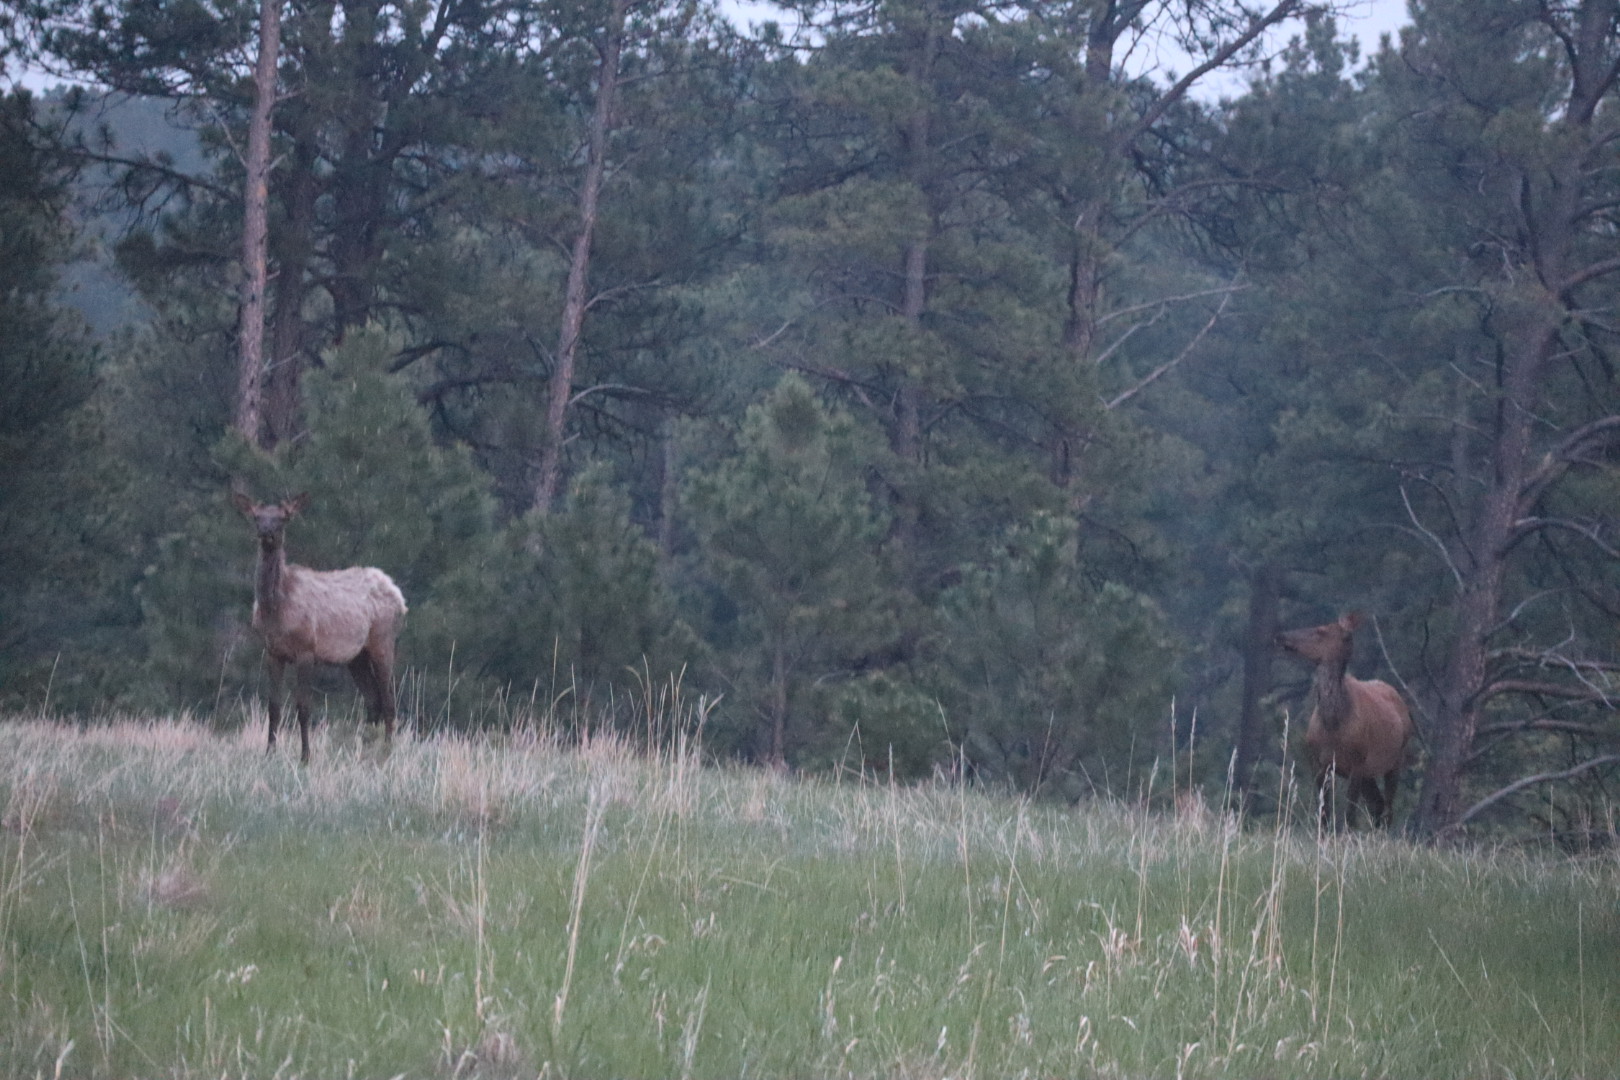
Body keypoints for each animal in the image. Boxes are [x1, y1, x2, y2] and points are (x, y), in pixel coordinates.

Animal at [233, 491, 407, 764]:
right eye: (256, 517)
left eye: (283, 518)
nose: (266, 532)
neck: (276, 610)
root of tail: (399, 596)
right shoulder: (272, 652)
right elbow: (273, 706)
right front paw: (269, 752)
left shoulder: (306, 649)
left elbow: (304, 707)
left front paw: (305, 756)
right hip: (355, 657)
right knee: (373, 700)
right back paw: (366, 749)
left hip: (383, 640)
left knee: (389, 701)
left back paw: (386, 751)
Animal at [1276, 612, 1414, 830]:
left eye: (1321, 630)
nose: (1281, 635)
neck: (1333, 725)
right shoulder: (1318, 763)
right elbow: (1324, 814)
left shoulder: (1357, 763)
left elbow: (1350, 814)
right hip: (1370, 772)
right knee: (1377, 804)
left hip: (1395, 759)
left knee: (1387, 809)